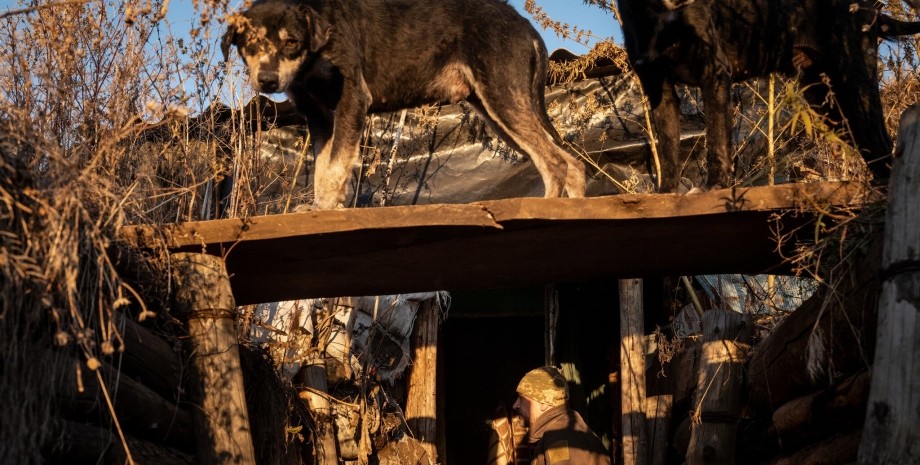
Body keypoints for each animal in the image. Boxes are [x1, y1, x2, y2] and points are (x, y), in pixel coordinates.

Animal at [219, 0, 584, 208]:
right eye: (249, 42)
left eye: (291, 41)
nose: (267, 81)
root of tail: (526, 27)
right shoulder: (318, 116)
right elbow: (324, 168)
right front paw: (321, 209)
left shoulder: (352, 100)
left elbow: (335, 167)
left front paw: (326, 209)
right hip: (497, 110)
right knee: (573, 165)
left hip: (503, 100)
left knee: (556, 163)